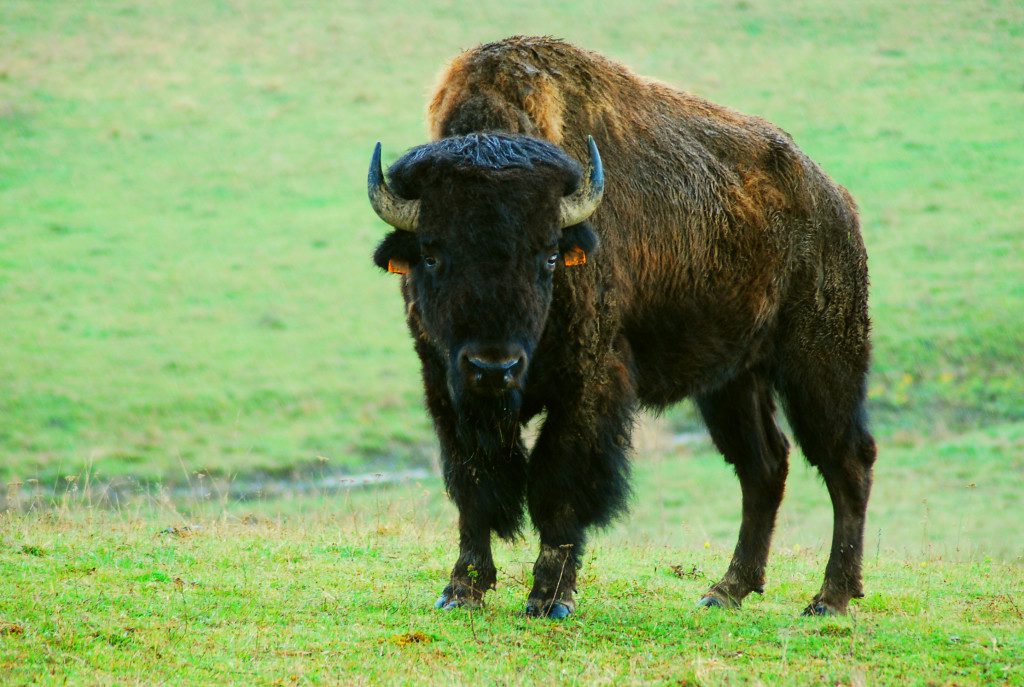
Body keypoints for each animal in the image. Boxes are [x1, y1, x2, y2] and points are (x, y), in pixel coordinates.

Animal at [364, 36, 876, 618]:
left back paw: (830, 597)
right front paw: (461, 590)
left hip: (820, 363)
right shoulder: (445, 384)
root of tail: (836, 202)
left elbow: (557, 482)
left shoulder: (587, 382)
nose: (494, 367)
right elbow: (473, 481)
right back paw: (726, 590)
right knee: (764, 467)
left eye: (548, 255)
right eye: (431, 254)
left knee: (847, 462)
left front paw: (548, 598)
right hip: (732, 382)